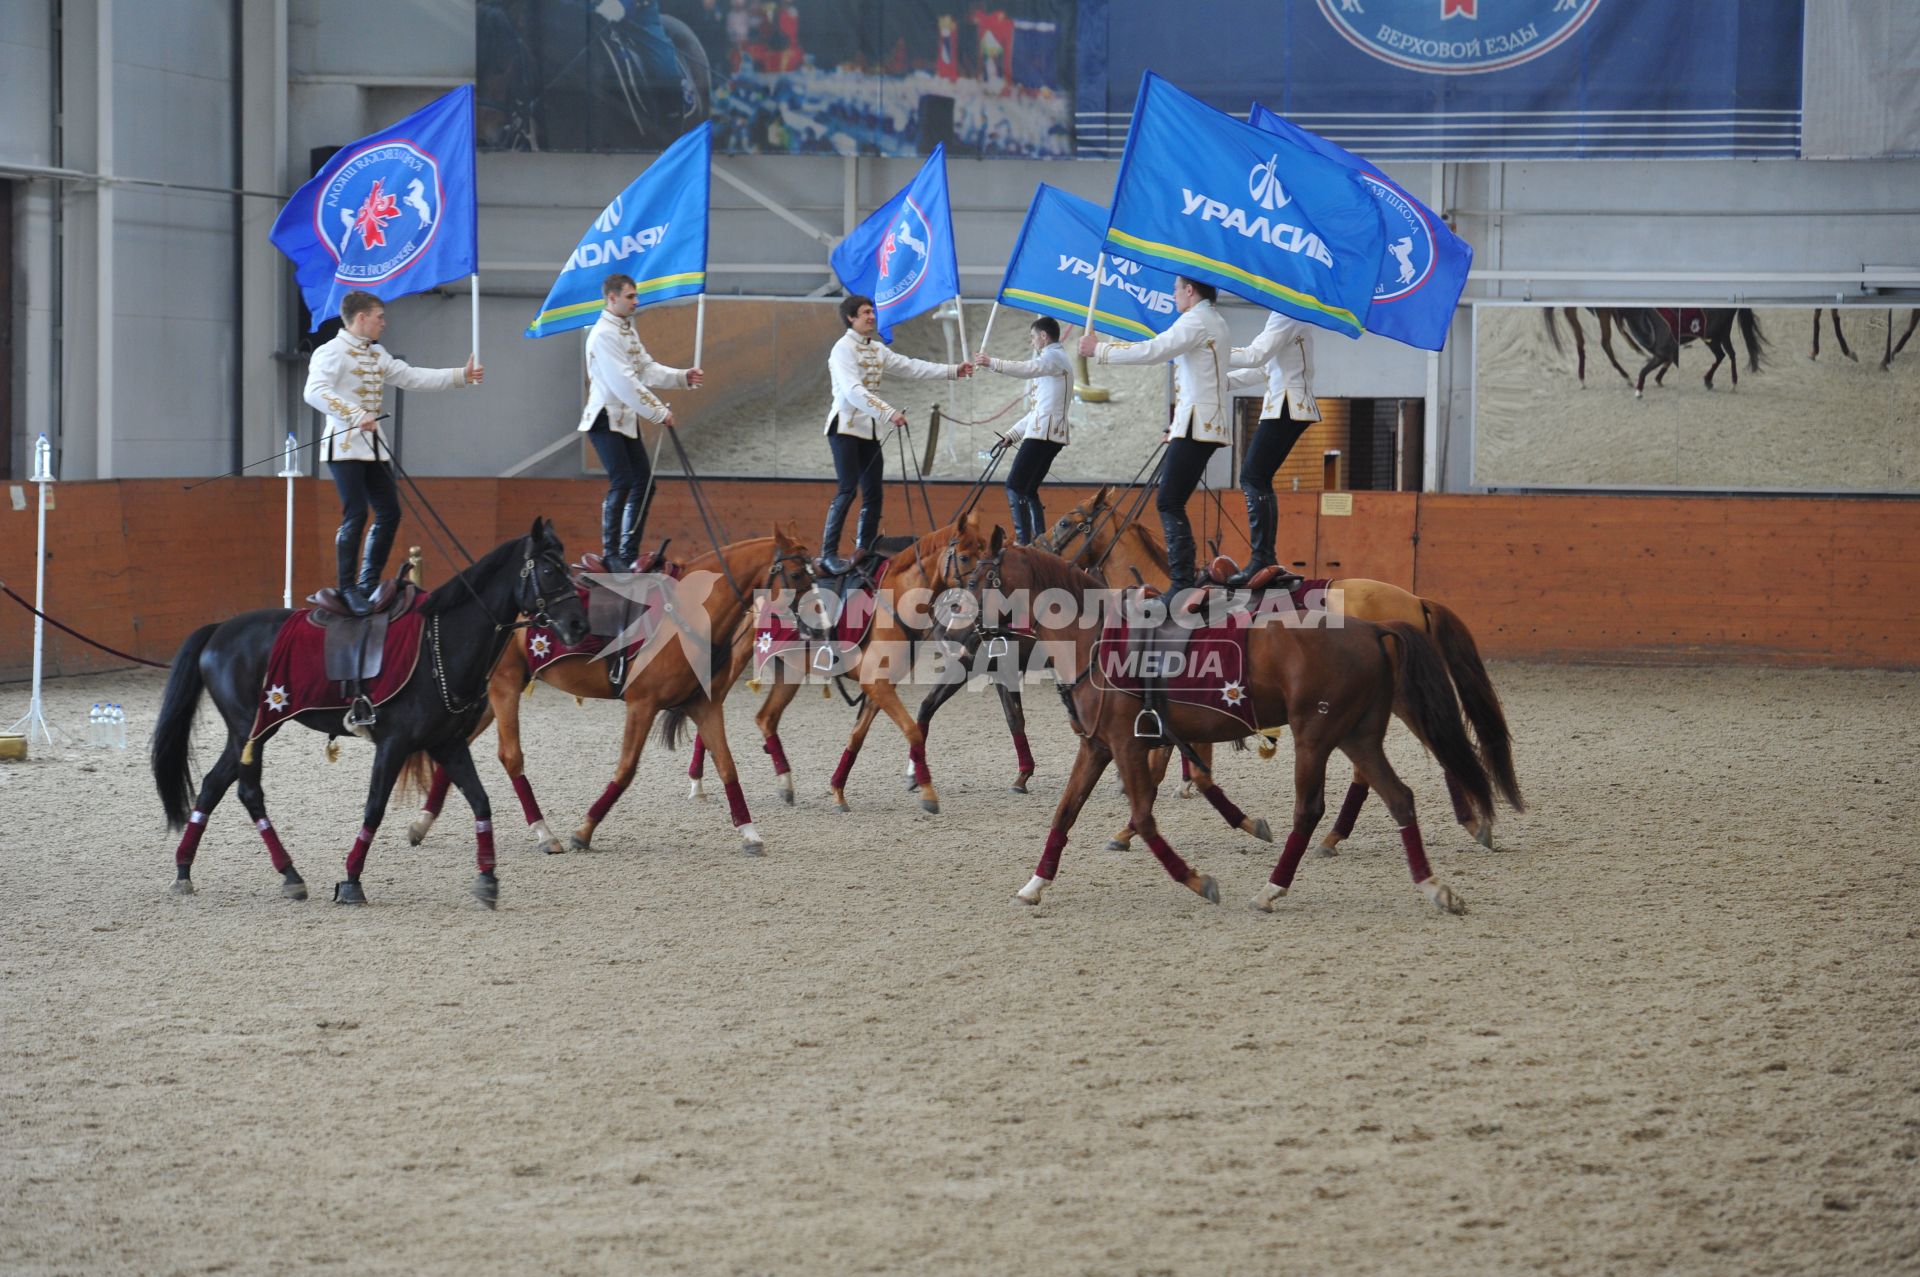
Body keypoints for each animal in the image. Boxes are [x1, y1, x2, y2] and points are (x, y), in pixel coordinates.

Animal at [151, 518, 583, 906]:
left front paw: (488, 879)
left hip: (245, 733)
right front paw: (351, 881)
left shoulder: (448, 743)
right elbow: (374, 808)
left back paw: (185, 871)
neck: (438, 645)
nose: (578, 624)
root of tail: (220, 629)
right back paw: (288, 873)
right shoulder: (393, 743)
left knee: (212, 785)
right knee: (248, 792)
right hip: (251, 730)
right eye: (549, 570)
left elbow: (480, 801)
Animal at [952, 522, 1489, 910]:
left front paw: (1195, 878)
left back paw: (1275, 887)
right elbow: (1067, 812)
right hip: (1357, 733)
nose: (957, 631)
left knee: (1314, 808)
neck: (1099, 638)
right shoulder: (1100, 745)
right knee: (1399, 796)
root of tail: (1376, 627)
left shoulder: (1129, 744)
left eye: (978, 578)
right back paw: (1433, 883)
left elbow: (1147, 812)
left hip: (1318, 735)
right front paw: (1034, 884)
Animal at [1044, 483, 1520, 852]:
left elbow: (1164, 770)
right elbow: (1192, 768)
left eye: (1067, 522)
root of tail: (1415, 600)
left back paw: (1465, 823)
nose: (1038, 541)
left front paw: (1126, 830)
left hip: (1400, 699)